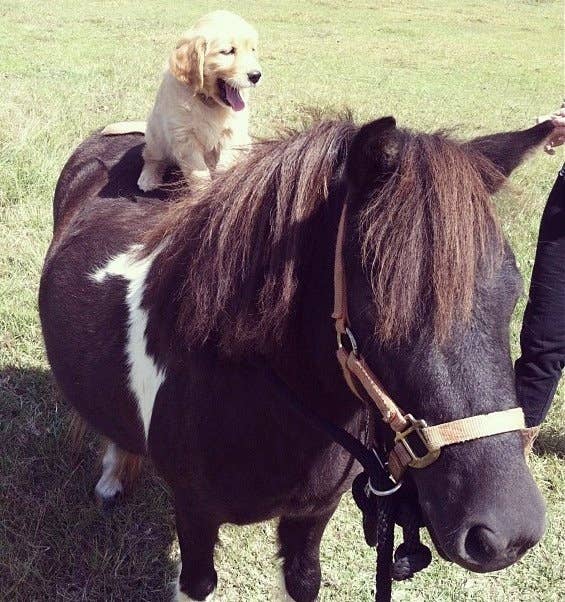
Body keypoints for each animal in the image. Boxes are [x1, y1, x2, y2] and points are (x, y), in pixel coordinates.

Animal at [137, 11, 260, 190]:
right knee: (152, 157)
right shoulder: (184, 137)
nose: (256, 75)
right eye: (228, 52)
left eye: (252, 50)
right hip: (155, 135)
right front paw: (204, 192)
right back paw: (149, 177)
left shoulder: (233, 132)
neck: (209, 102)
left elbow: (226, 165)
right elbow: (198, 173)